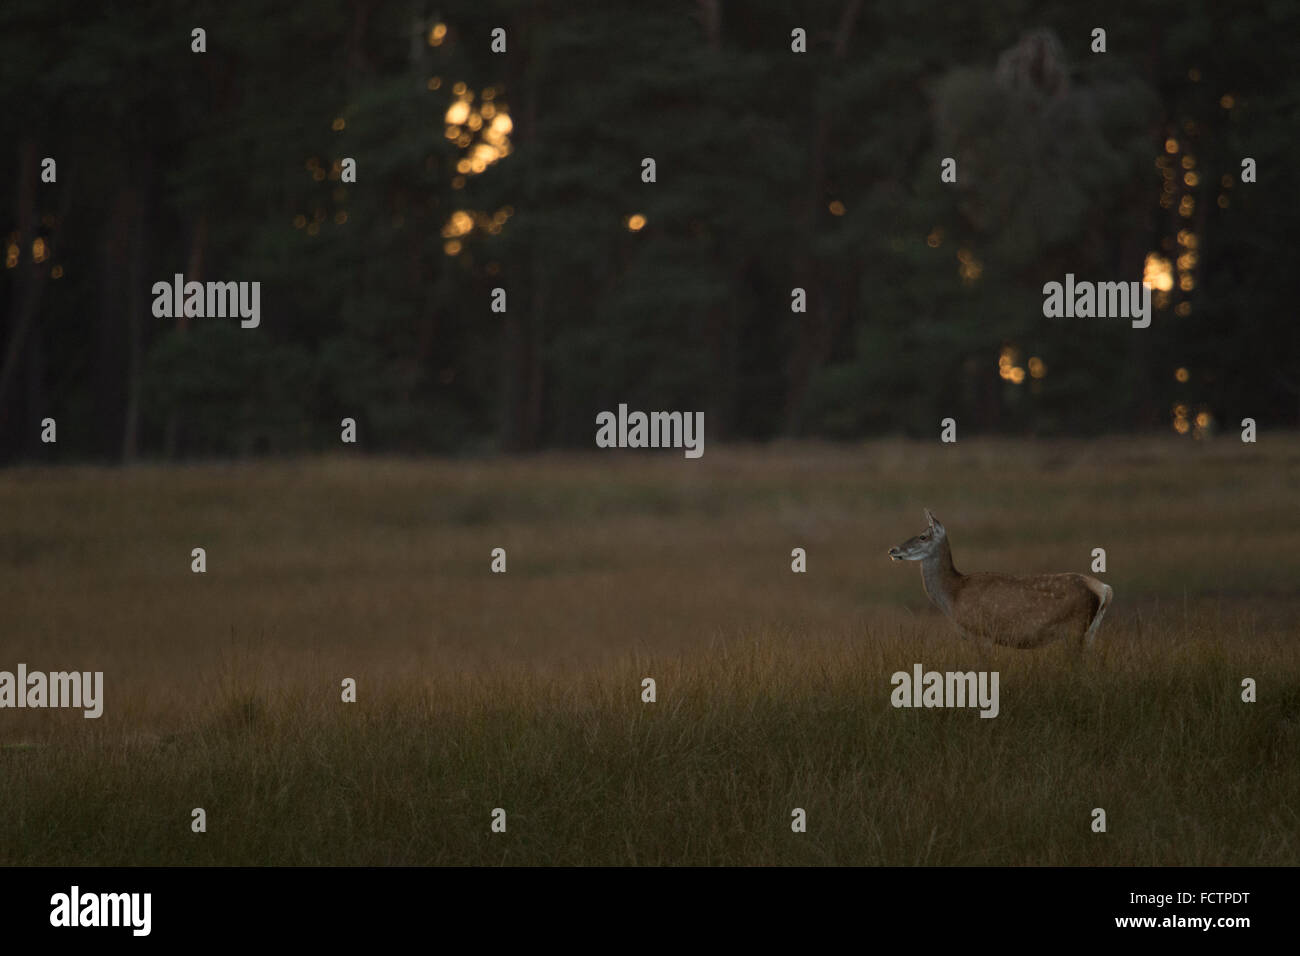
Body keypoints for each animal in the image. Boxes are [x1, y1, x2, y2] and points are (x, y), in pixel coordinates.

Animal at [889, 509, 1112, 650]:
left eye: (923, 536)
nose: (893, 550)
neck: (953, 595)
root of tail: (1104, 590)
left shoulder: (981, 634)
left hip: (1075, 629)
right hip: (1089, 634)